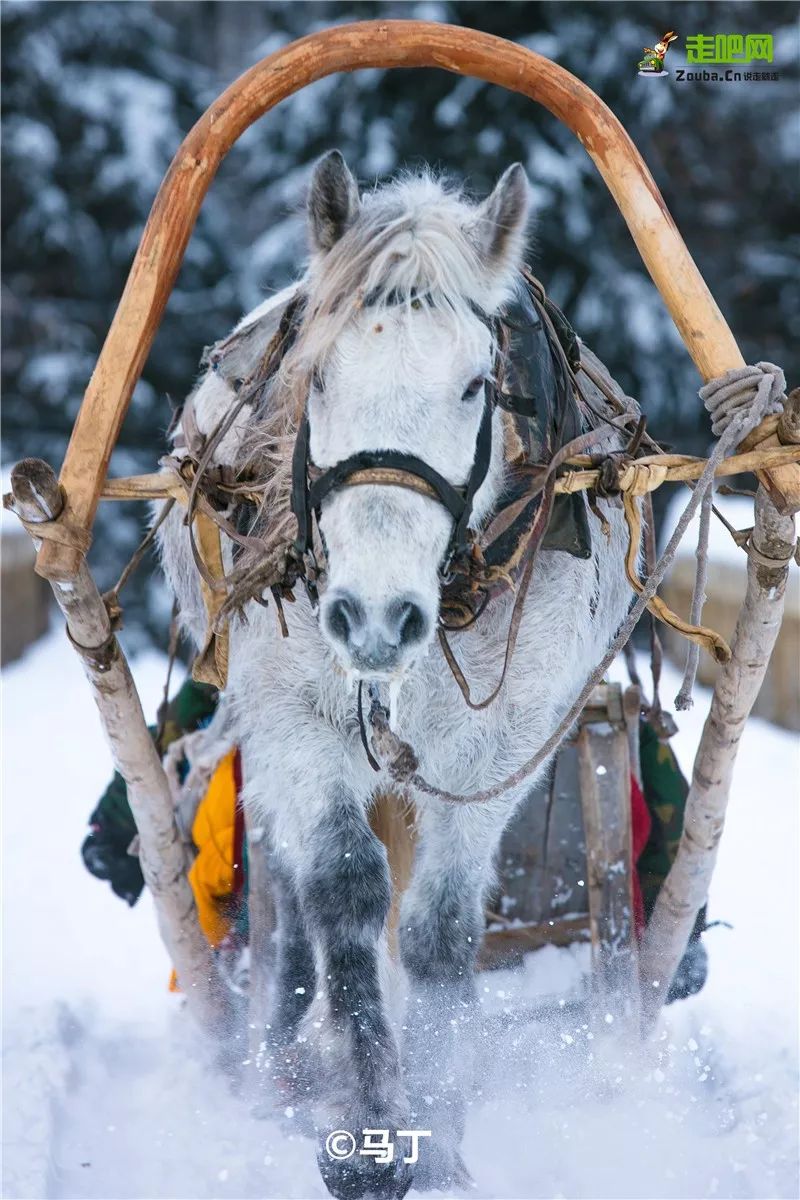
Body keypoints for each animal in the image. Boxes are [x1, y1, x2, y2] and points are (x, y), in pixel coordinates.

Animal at [158, 152, 638, 1200]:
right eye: (318, 374)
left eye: (475, 386)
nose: (376, 618)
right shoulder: (296, 717)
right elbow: (343, 891)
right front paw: (371, 1130)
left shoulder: (497, 751)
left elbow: (440, 935)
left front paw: (441, 1135)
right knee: (291, 893)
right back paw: (283, 1055)